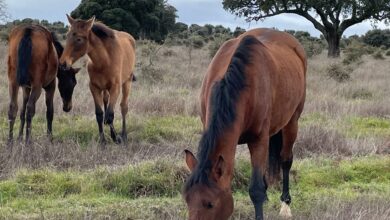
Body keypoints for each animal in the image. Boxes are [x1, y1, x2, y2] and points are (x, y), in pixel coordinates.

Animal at [59, 14, 136, 144]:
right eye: (67, 35)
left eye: (79, 39)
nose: (63, 63)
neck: (104, 60)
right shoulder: (94, 88)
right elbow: (100, 114)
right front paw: (103, 141)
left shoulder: (115, 88)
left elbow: (110, 115)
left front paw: (116, 137)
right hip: (104, 89)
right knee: (106, 102)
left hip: (127, 82)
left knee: (123, 107)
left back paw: (124, 135)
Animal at [184, 28, 308, 219]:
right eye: (187, 200)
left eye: (211, 204)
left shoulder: (258, 140)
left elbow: (256, 190)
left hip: (292, 122)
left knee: (286, 160)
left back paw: (285, 205)